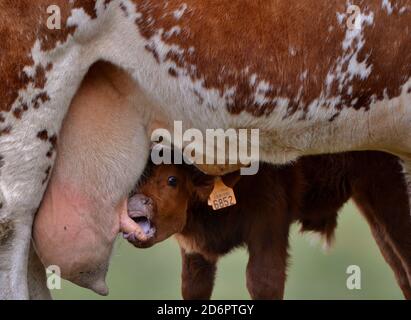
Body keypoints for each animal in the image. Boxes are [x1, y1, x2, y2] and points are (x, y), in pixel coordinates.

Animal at [127, 151, 411, 298]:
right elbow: (193, 287)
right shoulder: (195, 251)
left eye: (172, 179)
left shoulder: (268, 225)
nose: (135, 206)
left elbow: (263, 281)